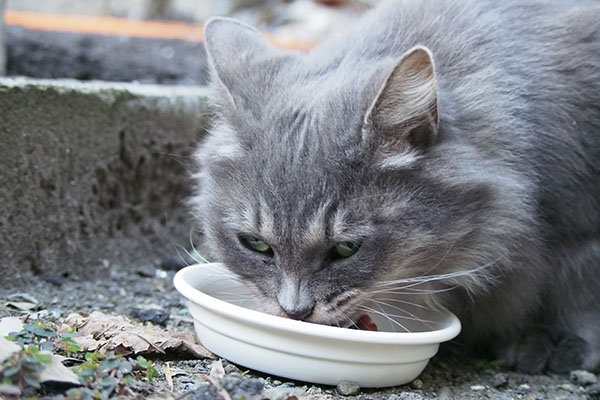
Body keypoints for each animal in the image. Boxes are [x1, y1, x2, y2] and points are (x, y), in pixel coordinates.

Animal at [191, 0, 600, 374]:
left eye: (346, 249)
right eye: (256, 244)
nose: (295, 310)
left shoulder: (580, 226)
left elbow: (579, 290)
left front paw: (559, 342)